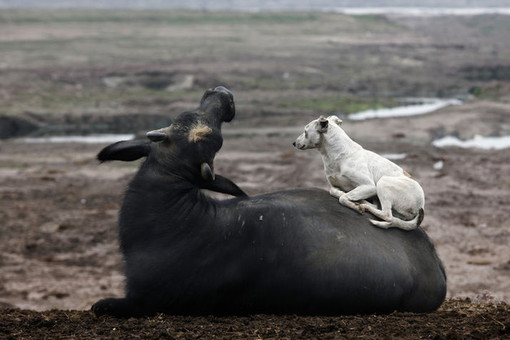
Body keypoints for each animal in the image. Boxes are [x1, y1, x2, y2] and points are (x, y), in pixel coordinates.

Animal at [92, 86, 446, 318]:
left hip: (386, 190)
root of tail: (437, 267)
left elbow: (102, 306)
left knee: (387, 212)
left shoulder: (148, 298)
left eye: (209, 135)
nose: (221, 95)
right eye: (185, 122)